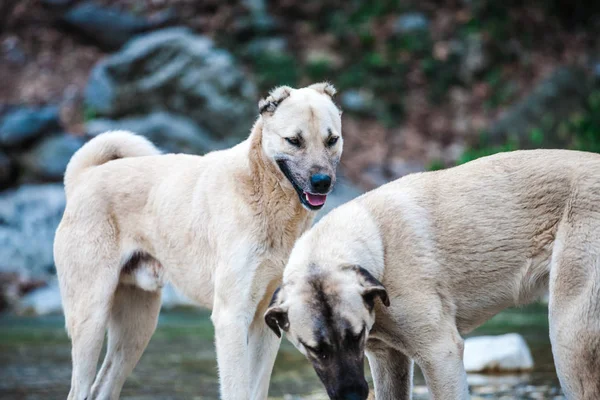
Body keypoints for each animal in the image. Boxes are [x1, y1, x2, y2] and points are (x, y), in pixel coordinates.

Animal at [54, 82, 344, 400]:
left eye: (332, 140)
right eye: (293, 140)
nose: (322, 182)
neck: (260, 191)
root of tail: (84, 177)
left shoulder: (268, 320)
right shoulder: (231, 317)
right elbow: (237, 389)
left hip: (137, 328)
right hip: (91, 318)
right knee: (79, 388)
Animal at [268, 149, 600, 400]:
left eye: (355, 337)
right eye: (315, 349)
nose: (352, 397)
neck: (381, 247)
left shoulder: (440, 354)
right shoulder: (388, 358)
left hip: (569, 339)